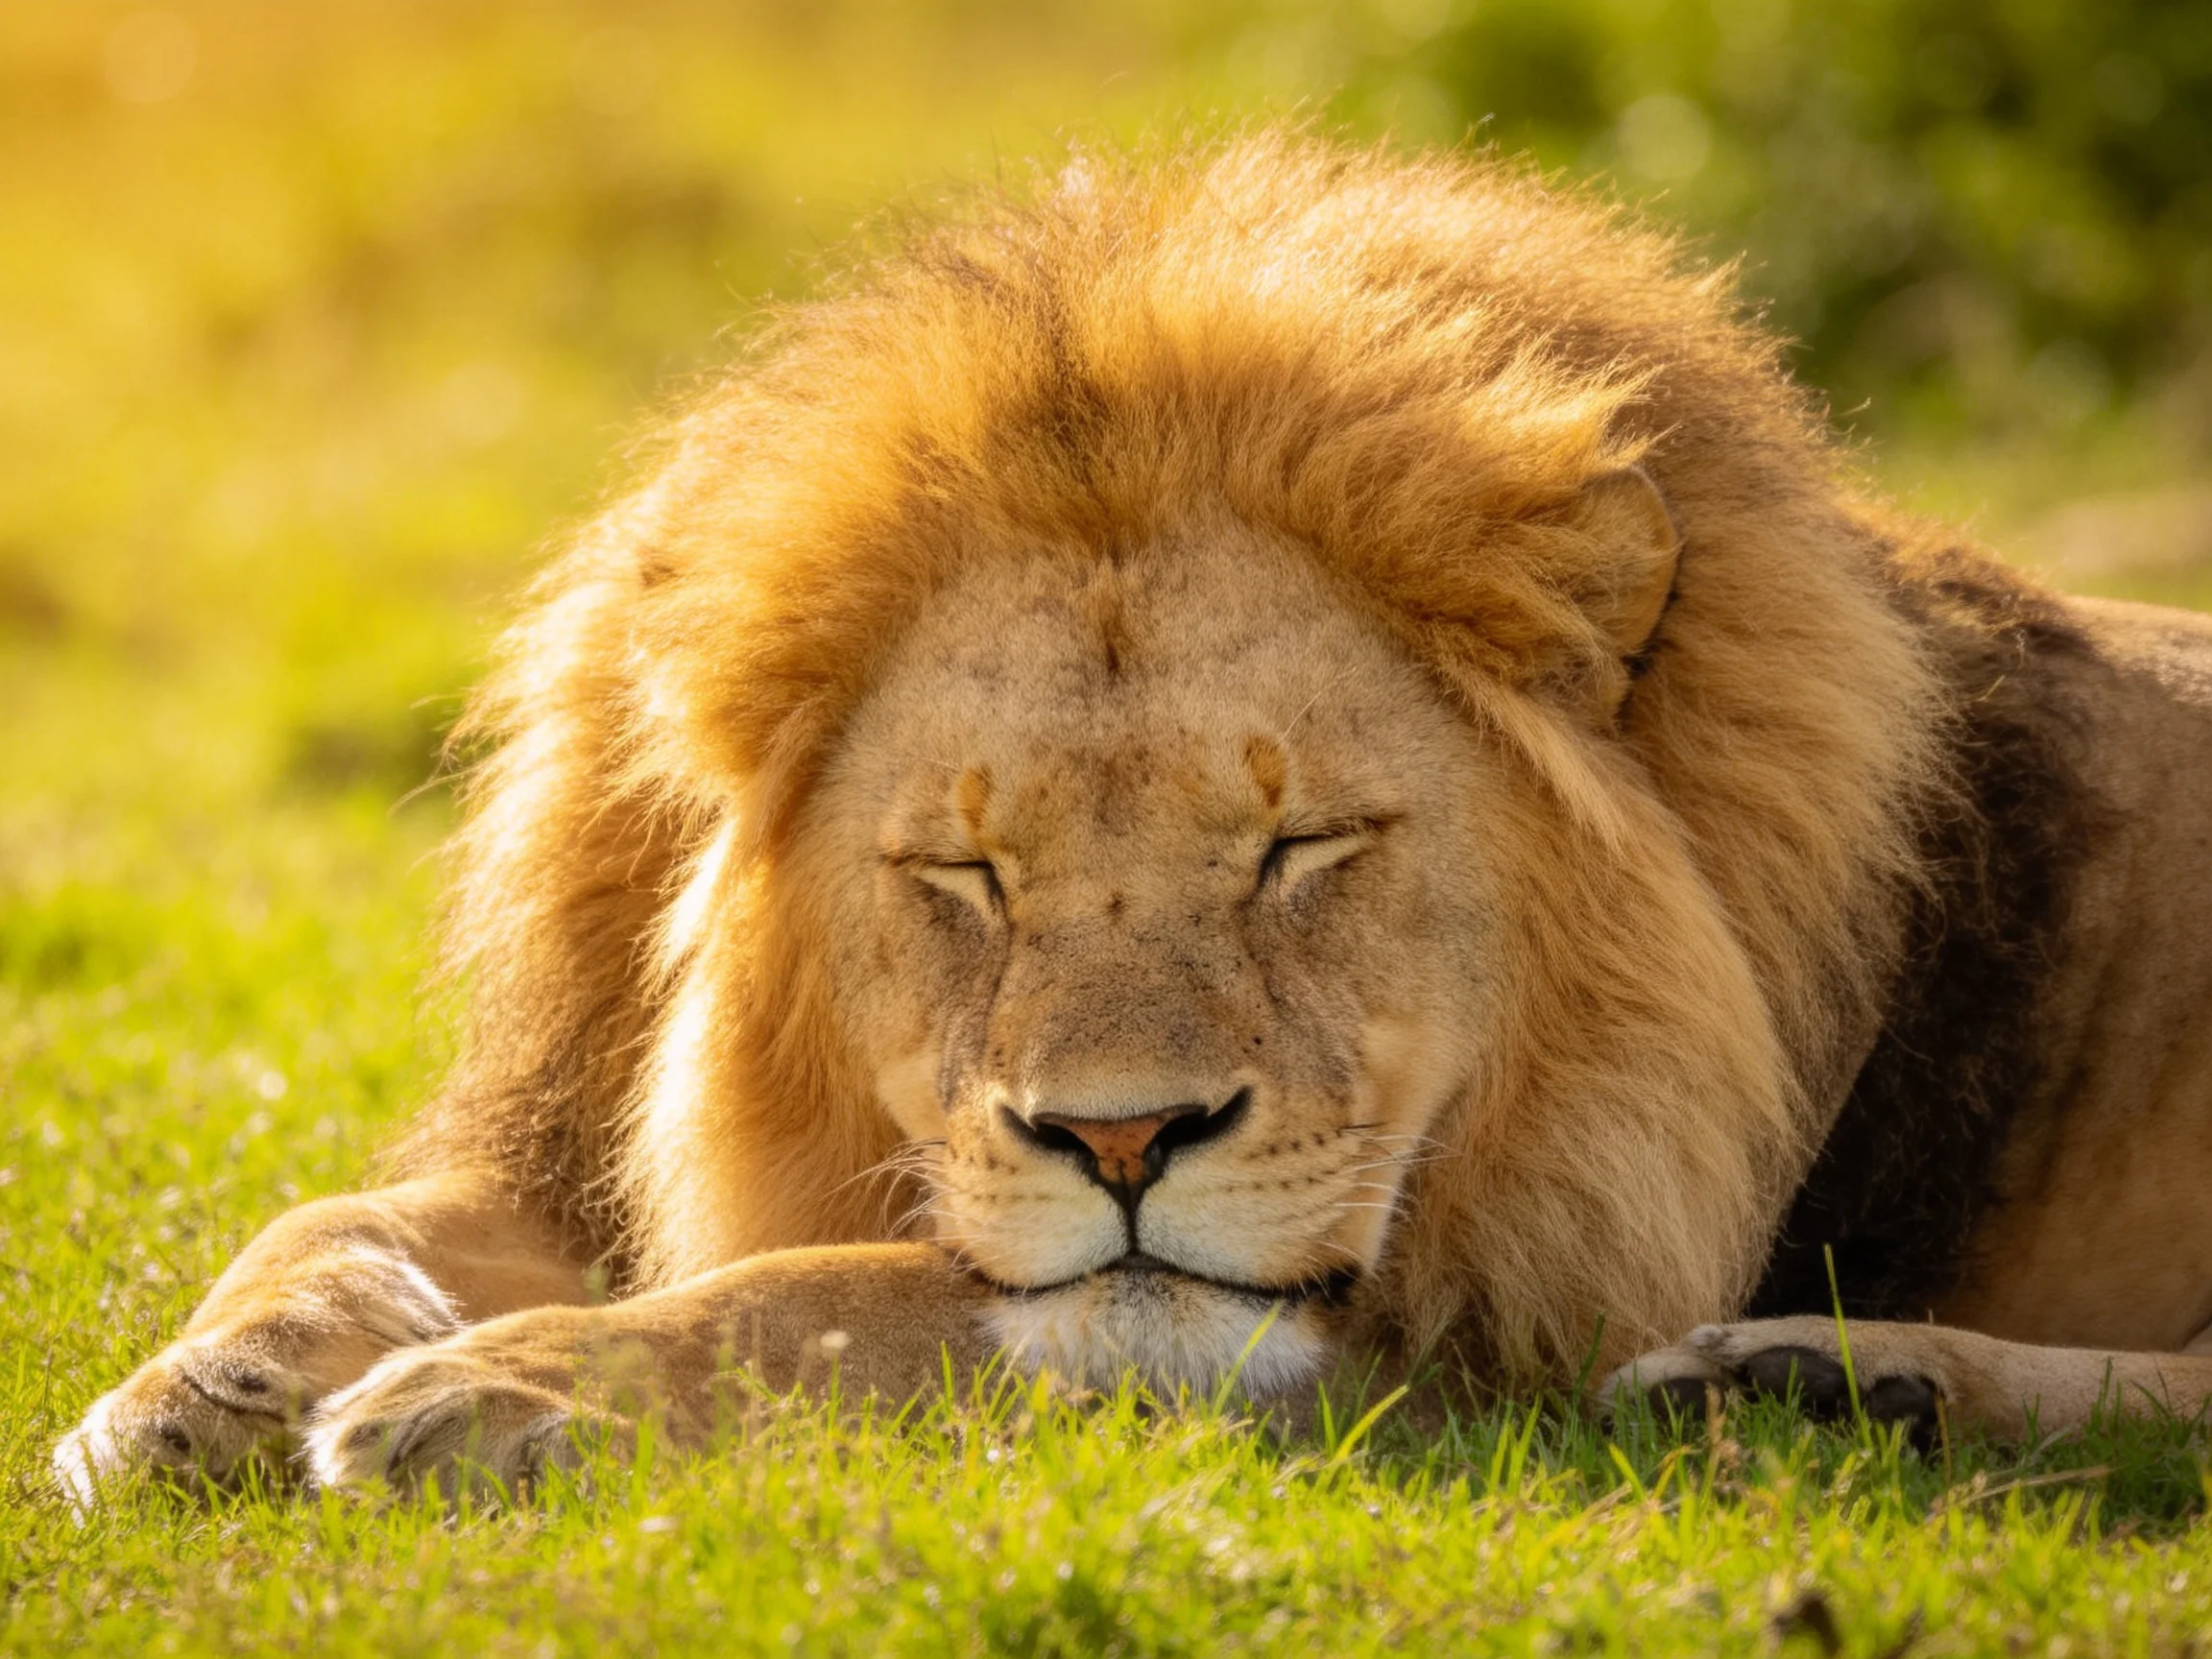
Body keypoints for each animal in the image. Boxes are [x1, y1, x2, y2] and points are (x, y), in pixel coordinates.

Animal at [54, 132, 2212, 1503]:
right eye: (965, 873)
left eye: (1299, 848)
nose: (1120, 1141)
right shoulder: (563, 1114)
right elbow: (340, 1217)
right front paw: (198, 1387)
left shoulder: (1459, 1284)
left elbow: (868, 1297)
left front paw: (500, 1390)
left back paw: (1839, 1388)